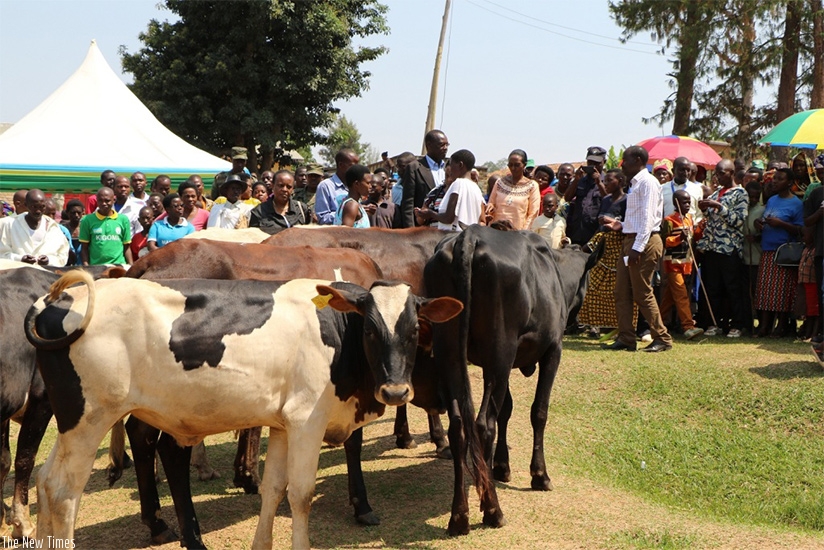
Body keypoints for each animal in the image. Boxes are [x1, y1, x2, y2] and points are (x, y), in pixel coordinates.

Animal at [24, 272, 464, 550]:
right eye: (371, 329)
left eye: (415, 331)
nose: (395, 390)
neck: (338, 332)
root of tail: (56, 300)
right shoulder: (306, 422)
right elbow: (301, 494)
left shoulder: (284, 425)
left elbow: (273, 490)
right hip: (90, 419)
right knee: (63, 492)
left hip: (71, 422)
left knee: (44, 482)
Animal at [422, 223, 600, 536]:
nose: (579, 324)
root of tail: (469, 236)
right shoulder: (552, 350)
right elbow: (538, 411)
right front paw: (539, 475)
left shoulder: (489, 364)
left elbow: (506, 408)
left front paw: (501, 466)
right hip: (500, 349)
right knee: (483, 424)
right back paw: (493, 510)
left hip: (451, 351)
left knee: (459, 426)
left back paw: (459, 516)